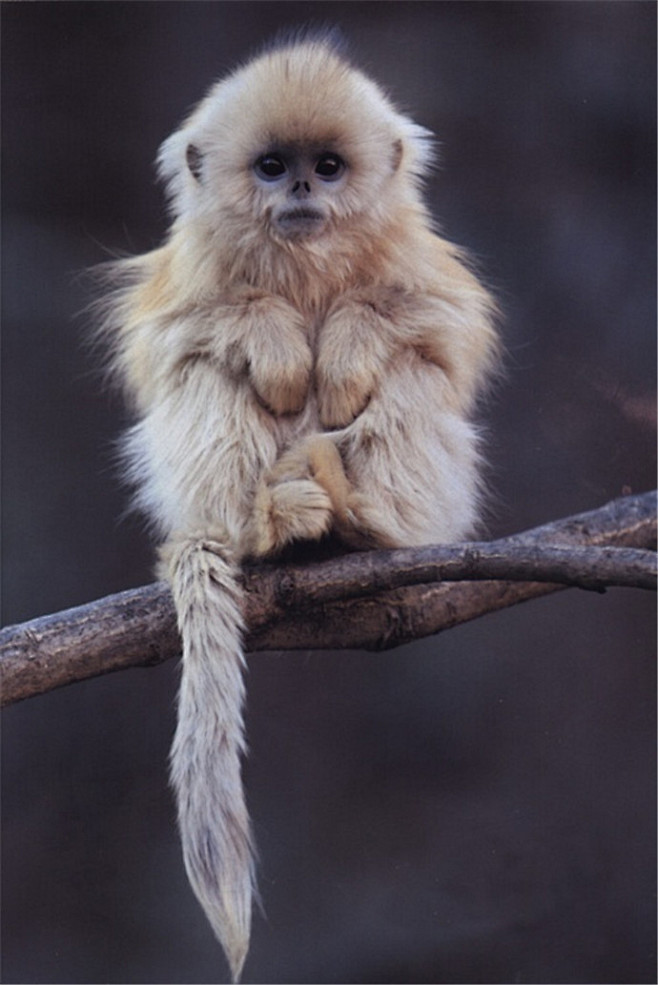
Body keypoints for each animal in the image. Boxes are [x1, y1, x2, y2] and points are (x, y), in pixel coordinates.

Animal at [97, 32, 498, 984]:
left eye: (329, 166)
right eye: (273, 167)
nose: (304, 193)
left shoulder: (418, 262)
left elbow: (443, 331)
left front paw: (345, 348)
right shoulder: (189, 274)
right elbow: (175, 341)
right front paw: (278, 343)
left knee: (413, 373)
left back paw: (361, 519)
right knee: (207, 373)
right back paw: (268, 525)